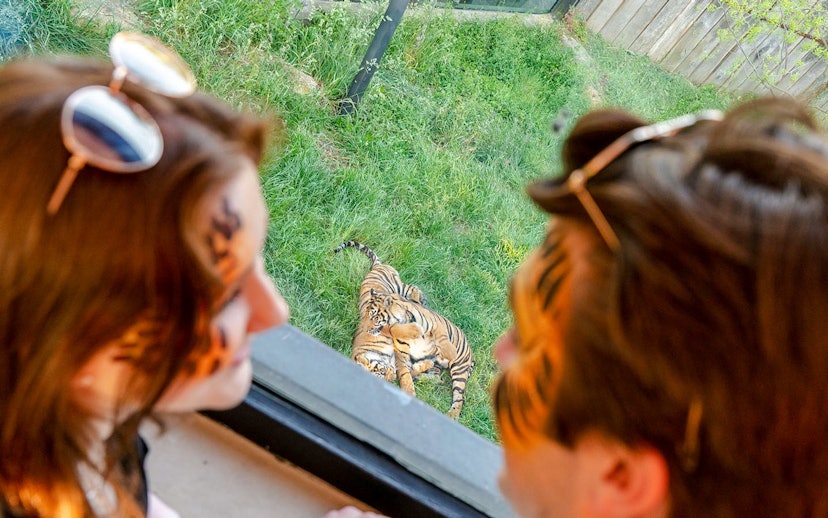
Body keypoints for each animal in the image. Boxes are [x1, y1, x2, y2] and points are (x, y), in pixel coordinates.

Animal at [334, 241, 428, 383]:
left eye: (382, 372)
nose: (392, 377)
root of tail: (376, 267)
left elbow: (397, 330)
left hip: (398, 286)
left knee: (413, 287)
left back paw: (421, 300)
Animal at [365, 291, 473, 420]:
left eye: (375, 317)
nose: (366, 329)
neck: (404, 321)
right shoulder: (401, 354)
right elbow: (405, 375)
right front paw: (409, 392)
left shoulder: (437, 325)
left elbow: (443, 337)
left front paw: (450, 352)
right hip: (435, 365)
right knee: (438, 378)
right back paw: (417, 375)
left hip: (459, 369)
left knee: (459, 397)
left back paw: (452, 414)